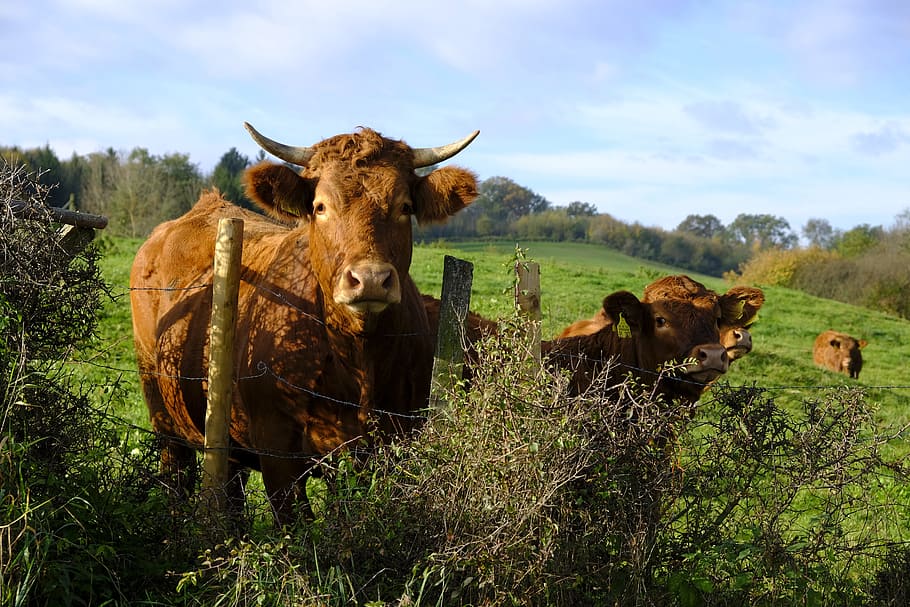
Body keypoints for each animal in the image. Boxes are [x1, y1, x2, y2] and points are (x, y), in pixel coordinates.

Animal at [130, 123, 479, 524]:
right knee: (175, 474)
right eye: (320, 206)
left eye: (404, 207)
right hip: (162, 409)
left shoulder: (396, 442)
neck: (357, 361)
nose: (370, 279)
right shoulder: (277, 449)